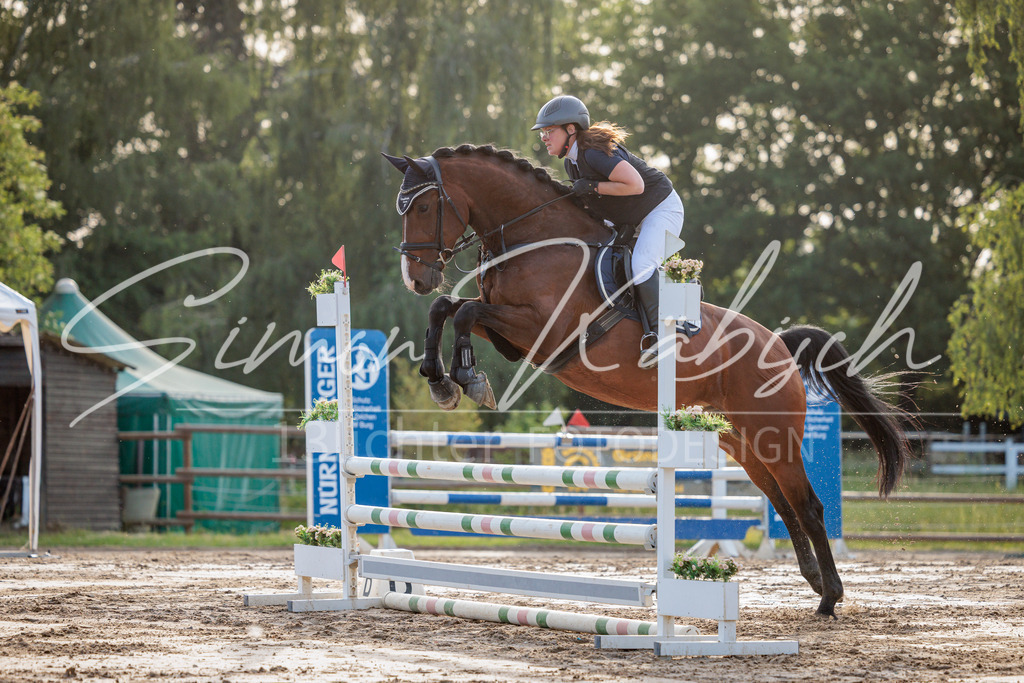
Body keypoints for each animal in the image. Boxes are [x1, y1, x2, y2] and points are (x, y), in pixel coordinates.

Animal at [382, 143, 911, 618]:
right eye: (401, 210)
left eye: (425, 206)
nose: (415, 279)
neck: (535, 239)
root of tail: (779, 345)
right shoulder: (514, 335)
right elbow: (447, 308)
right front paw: (440, 381)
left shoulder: (543, 332)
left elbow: (464, 311)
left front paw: (467, 379)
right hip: (742, 440)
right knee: (783, 503)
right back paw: (816, 582)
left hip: (773, 435)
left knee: (809, 506)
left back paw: (829, 598)